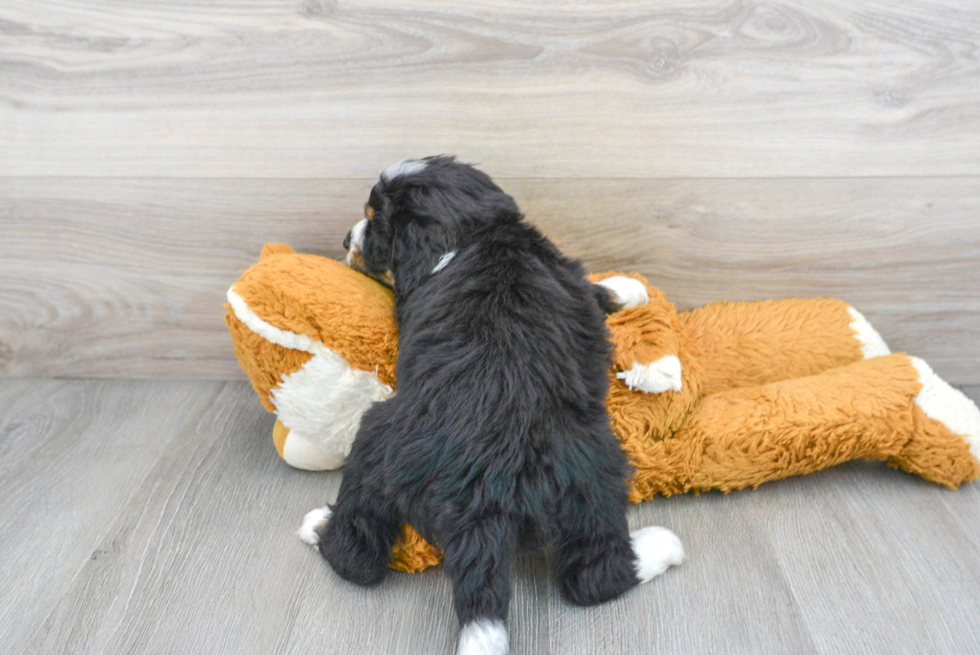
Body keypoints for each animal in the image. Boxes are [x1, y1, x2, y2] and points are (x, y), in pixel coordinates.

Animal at [298, 156, 680, 652]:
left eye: (374, 222)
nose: (347, 240)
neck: (472, 234)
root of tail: (484, 490)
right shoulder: (567, 279)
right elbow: (597, 290)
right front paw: (632, 287)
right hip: (595, 470)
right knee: (595, 574)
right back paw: (660, 547)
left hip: (375, 438)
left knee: (358, 557)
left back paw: (318, 525)